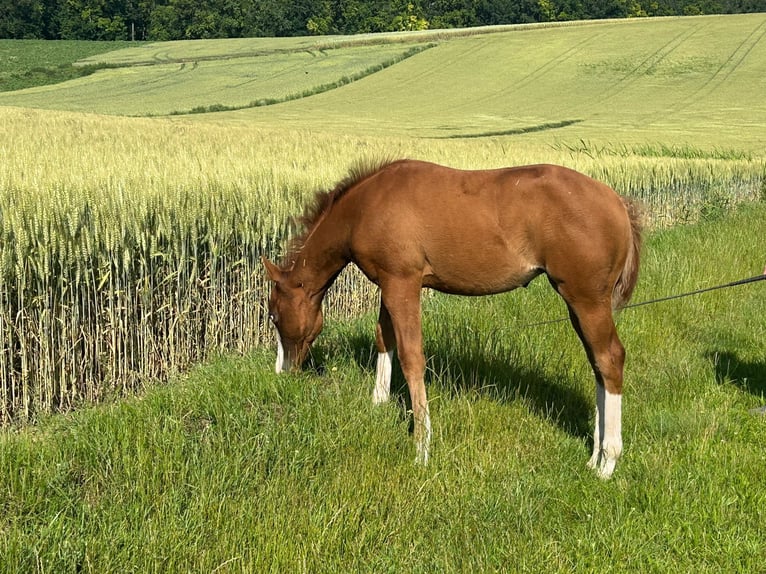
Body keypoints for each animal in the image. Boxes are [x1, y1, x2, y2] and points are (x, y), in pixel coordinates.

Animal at [264, 159, 640, 482]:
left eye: (274, 316)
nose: (284, 371)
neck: (366, 205)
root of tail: (618, 202)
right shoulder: (389, 283)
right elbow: (384, 338)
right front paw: (378, 403)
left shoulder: (403, 282)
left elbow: (412, 357)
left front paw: (421, 447)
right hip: (578, 302)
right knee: (597, 363)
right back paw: (594, 456)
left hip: (586, 299)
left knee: (609, 358)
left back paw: (608, 462)